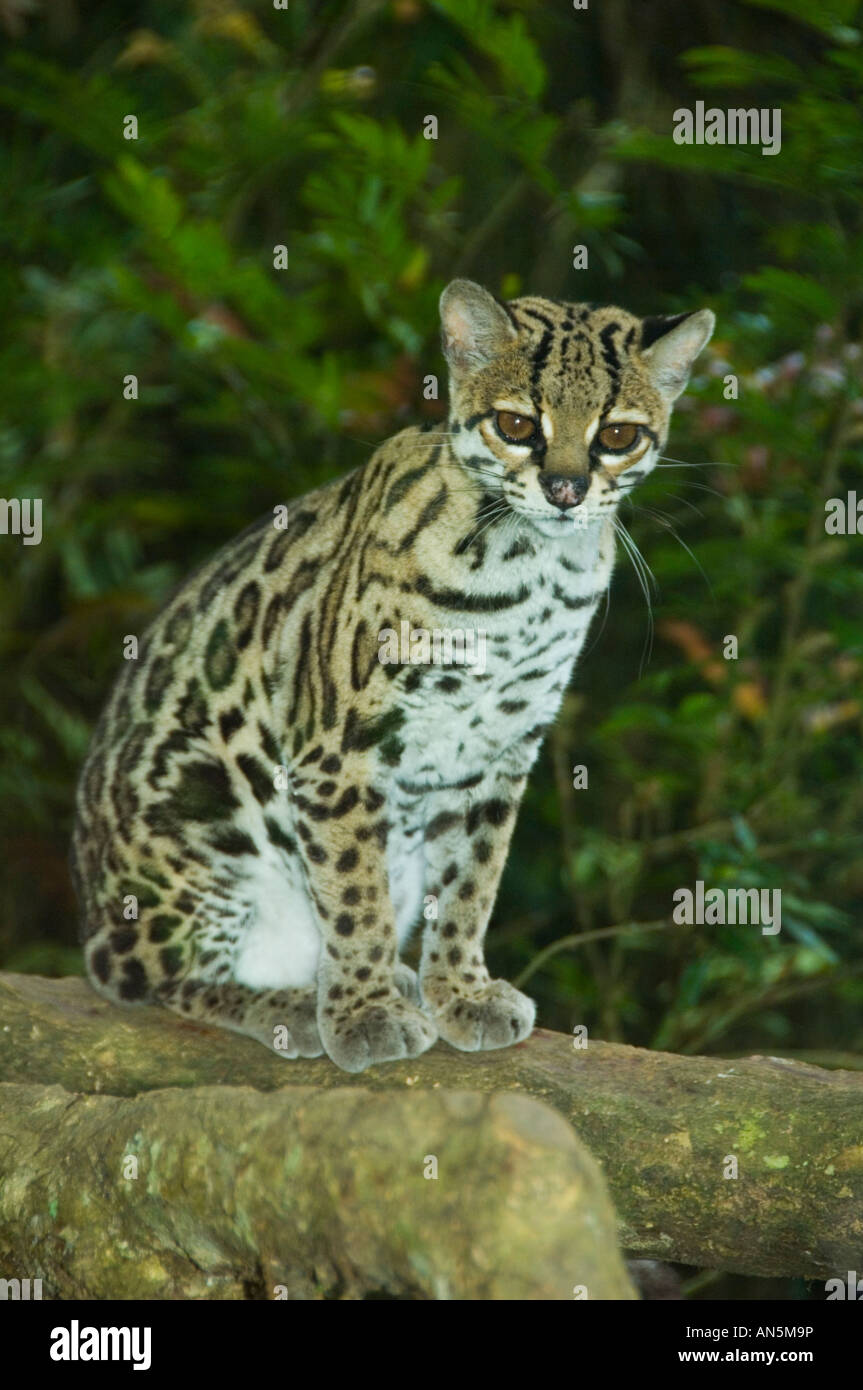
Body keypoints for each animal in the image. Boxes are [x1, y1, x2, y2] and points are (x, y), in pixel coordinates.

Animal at [70, 276, 711, 1067]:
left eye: (617, 436)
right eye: (516, 425)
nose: (565, 490)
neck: (531, 568)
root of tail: (94, 917)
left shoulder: (503, 748)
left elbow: (472, 882)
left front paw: (459, 990)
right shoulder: (336, 749)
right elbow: (355, 895)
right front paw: (363, 1014)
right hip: (198, 811)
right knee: (149, 977)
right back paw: (286, 1004)